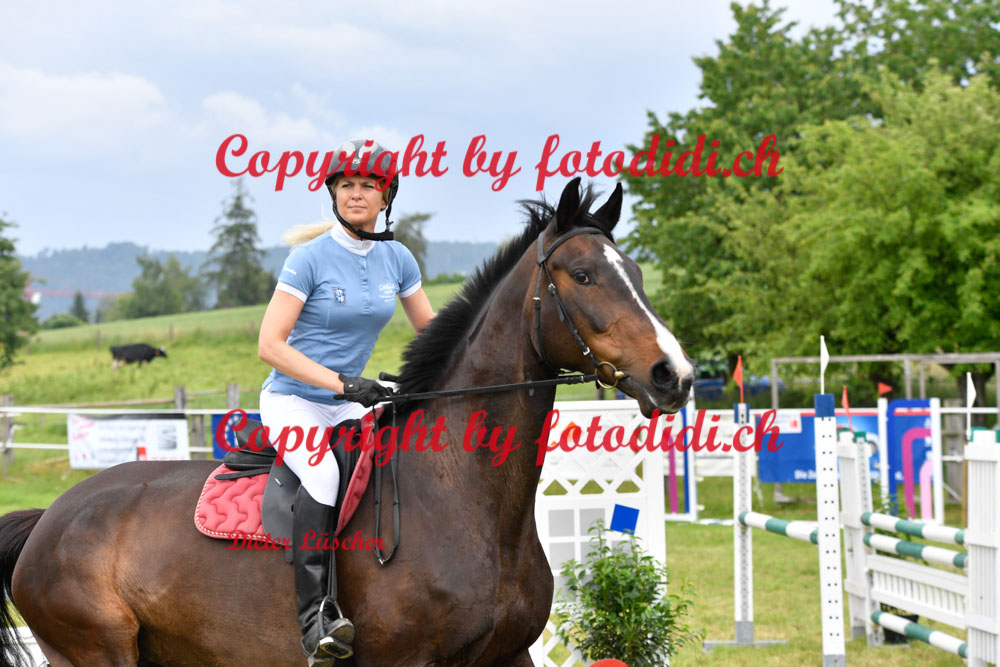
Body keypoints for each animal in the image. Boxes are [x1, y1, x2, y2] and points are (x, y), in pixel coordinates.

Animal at [0, 178, 694, 667]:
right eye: (582, 275)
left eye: (635, 274)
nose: (675, 375)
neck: (465, 497)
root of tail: (50, 517)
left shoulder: (509, 656)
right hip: (94, 651)